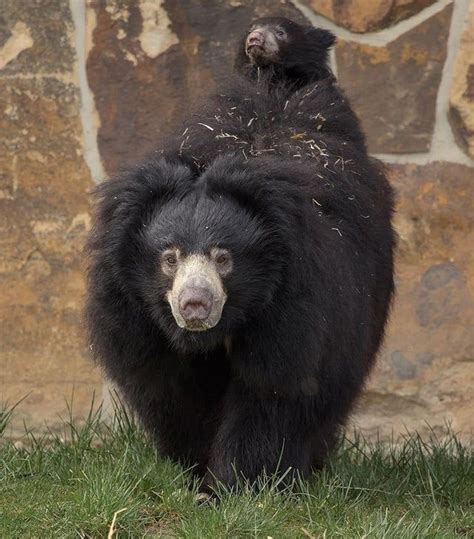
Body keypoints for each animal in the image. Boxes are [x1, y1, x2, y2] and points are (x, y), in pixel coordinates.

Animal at [86, 14, 396, 496]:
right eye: (170, 258)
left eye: (223, 258)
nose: (194, 305)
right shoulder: (134, 320)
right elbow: (168, 386)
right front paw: (194, 473)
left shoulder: (296, 307)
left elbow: (273, 392)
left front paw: (237, 485)